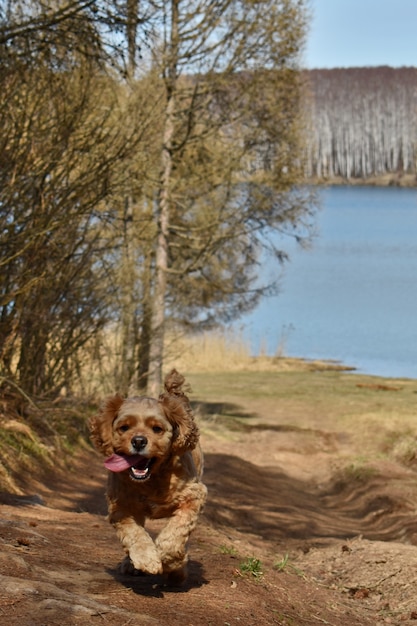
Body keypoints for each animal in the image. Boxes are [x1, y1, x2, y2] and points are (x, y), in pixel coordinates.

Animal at [88, 368, 206, 584]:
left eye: (157, 428)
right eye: (124, 427)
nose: (139, 441)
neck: (152, 479)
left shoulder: (194, 496)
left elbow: (176, 532)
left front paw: (170, 561)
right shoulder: (121, 507)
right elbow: (134, 534)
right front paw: (147, 560)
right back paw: (129, 564)